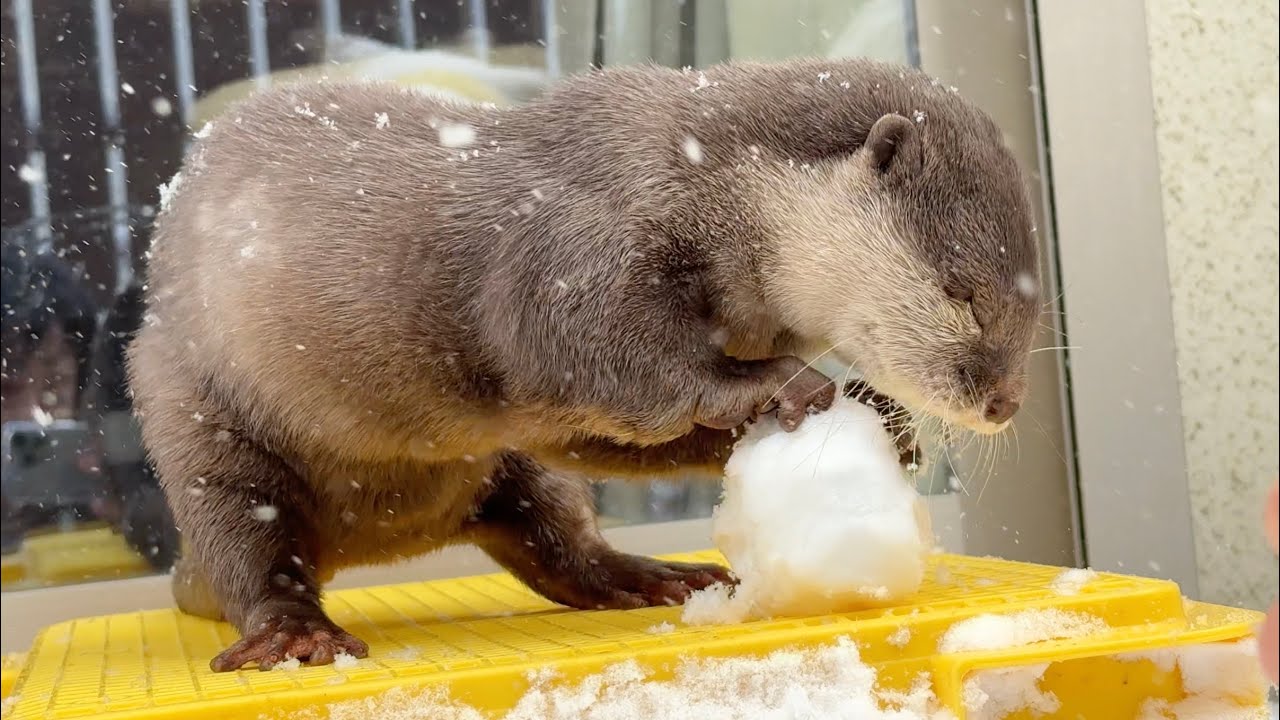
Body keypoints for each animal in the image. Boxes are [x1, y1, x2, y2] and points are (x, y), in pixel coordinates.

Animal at [128, 58, 1040, 671]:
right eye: (961, 292)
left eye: (1031, 308)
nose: (1003, 402)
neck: (705, 184)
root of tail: (374, 539)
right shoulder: (577, 244)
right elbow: (597, 353)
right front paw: (785, 381)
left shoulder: (563, 409)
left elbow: (619, 428)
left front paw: (877, 410)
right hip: (194, 417)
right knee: (250, 543)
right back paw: (294, 630)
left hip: (512, 462)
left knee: (560, 541)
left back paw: (654, 576)